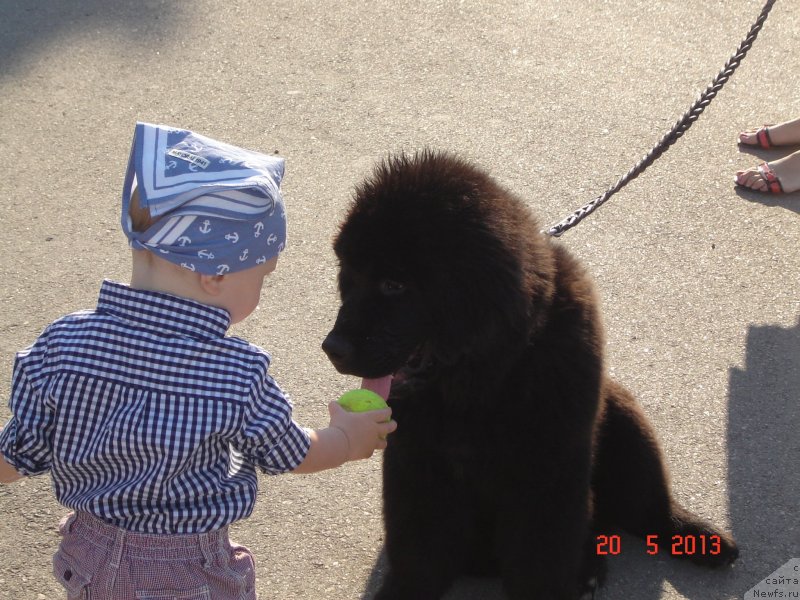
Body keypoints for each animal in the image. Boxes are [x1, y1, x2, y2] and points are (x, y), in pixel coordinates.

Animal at [320, 151, 736, 600]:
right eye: (349, 278)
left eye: (394, 285)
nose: (332, 348)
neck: (484, 380)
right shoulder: (418, 468)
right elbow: (419, 555)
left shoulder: (545, 479)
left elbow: (540, 563)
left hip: (624, 418)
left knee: (647, 512)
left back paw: (696, 538)